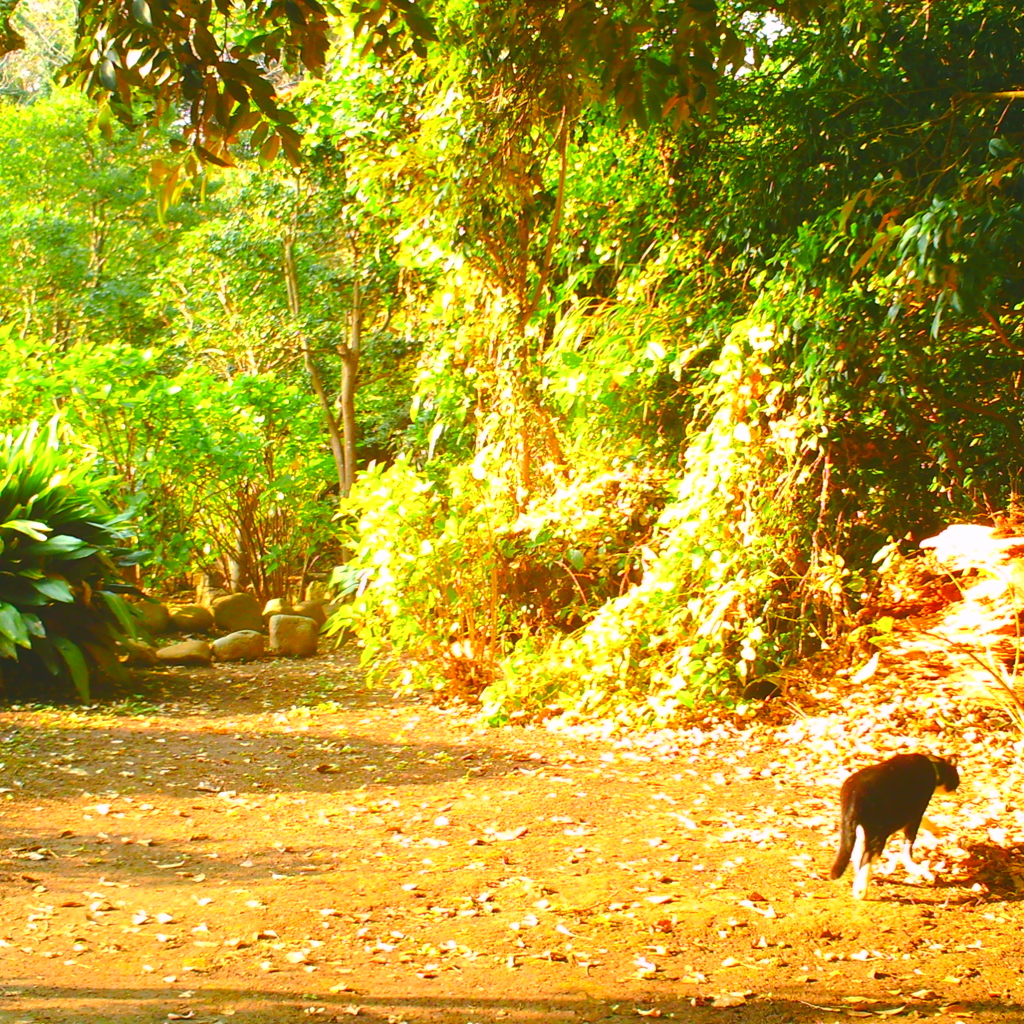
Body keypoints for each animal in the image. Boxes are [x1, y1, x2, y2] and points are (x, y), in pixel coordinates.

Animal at [831, 753, 958, 897]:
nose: (956, 791)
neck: (933, 766)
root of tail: (854, 793)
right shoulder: (914, 814)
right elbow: (907, 849)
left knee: (857, 854)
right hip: (878, 832)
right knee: (867, 858)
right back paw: (860, 890)